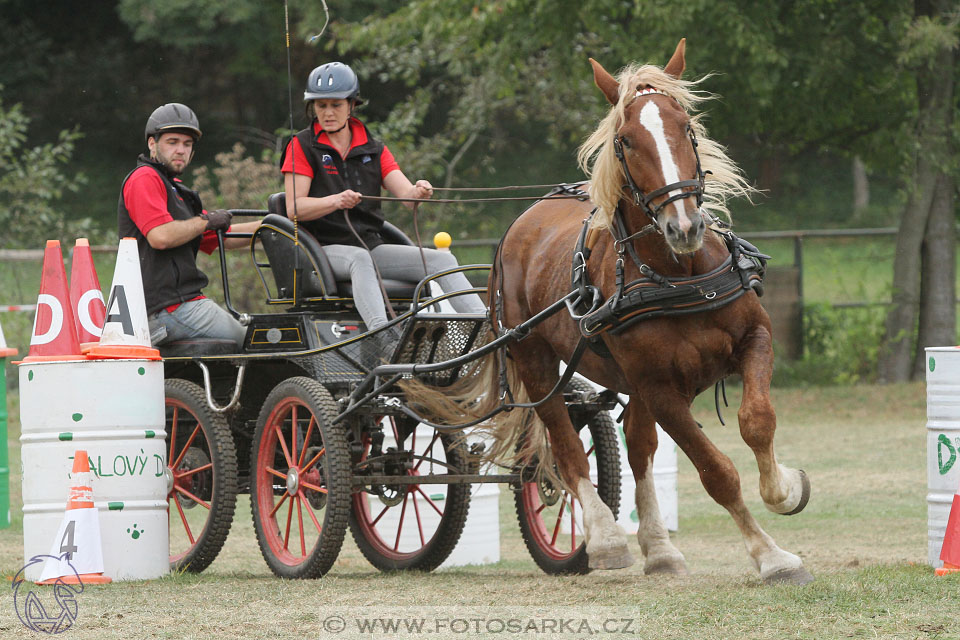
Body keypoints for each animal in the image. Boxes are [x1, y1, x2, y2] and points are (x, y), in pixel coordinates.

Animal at [410, 37, 808, 584]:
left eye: (685, 126)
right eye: (626, 140)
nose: (684, 226)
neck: (679, 275)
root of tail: (523, 221)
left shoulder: (753, 340)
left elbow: (757, 420)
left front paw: (785, 489)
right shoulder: (660, 388)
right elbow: (717, 472)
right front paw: (770, 555)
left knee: (638, 451)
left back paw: (659, 549)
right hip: (535, 360)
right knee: (566, 448)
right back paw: (605, 540)